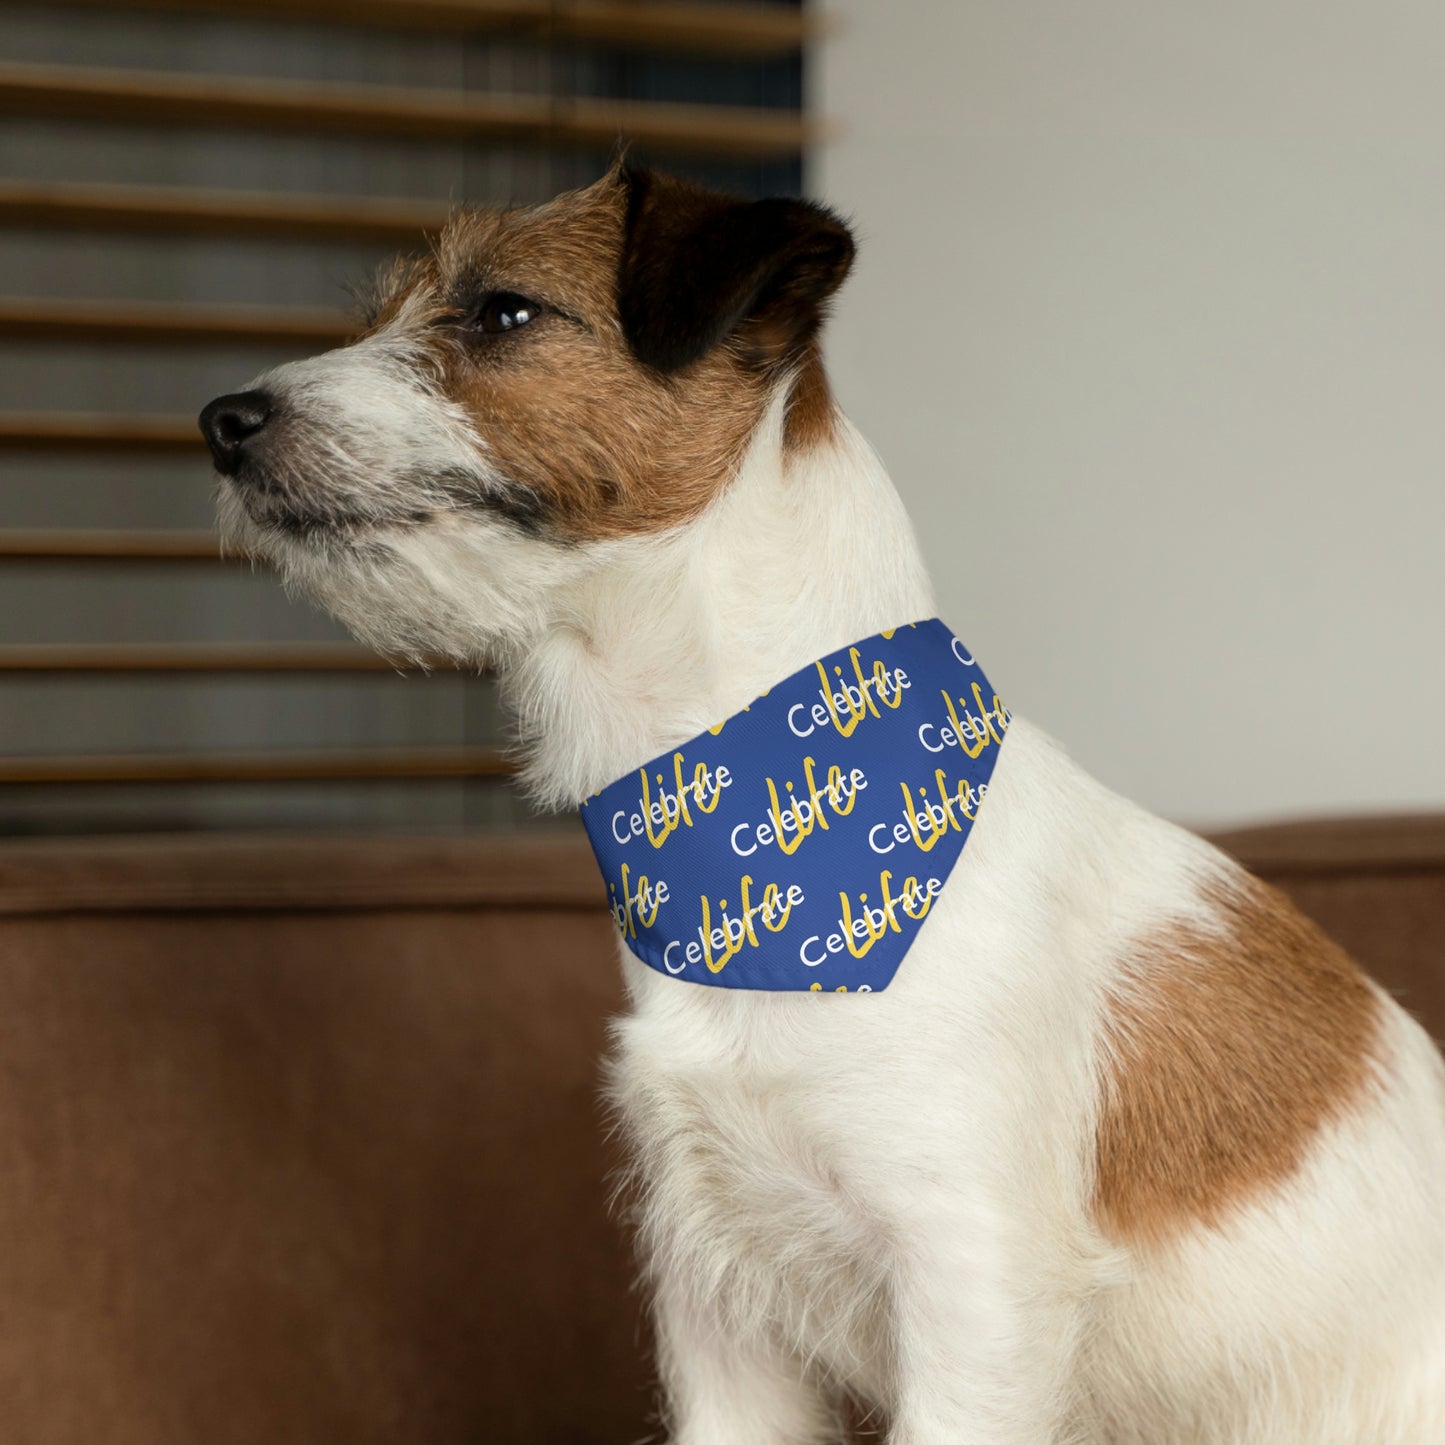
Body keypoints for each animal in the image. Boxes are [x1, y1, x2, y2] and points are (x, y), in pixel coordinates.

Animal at [200, 164, 1445, 1439]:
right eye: (381, 314)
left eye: (503, 311)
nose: (222, 421)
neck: (751, 844)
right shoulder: (716, 1304)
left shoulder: (972, 1292)